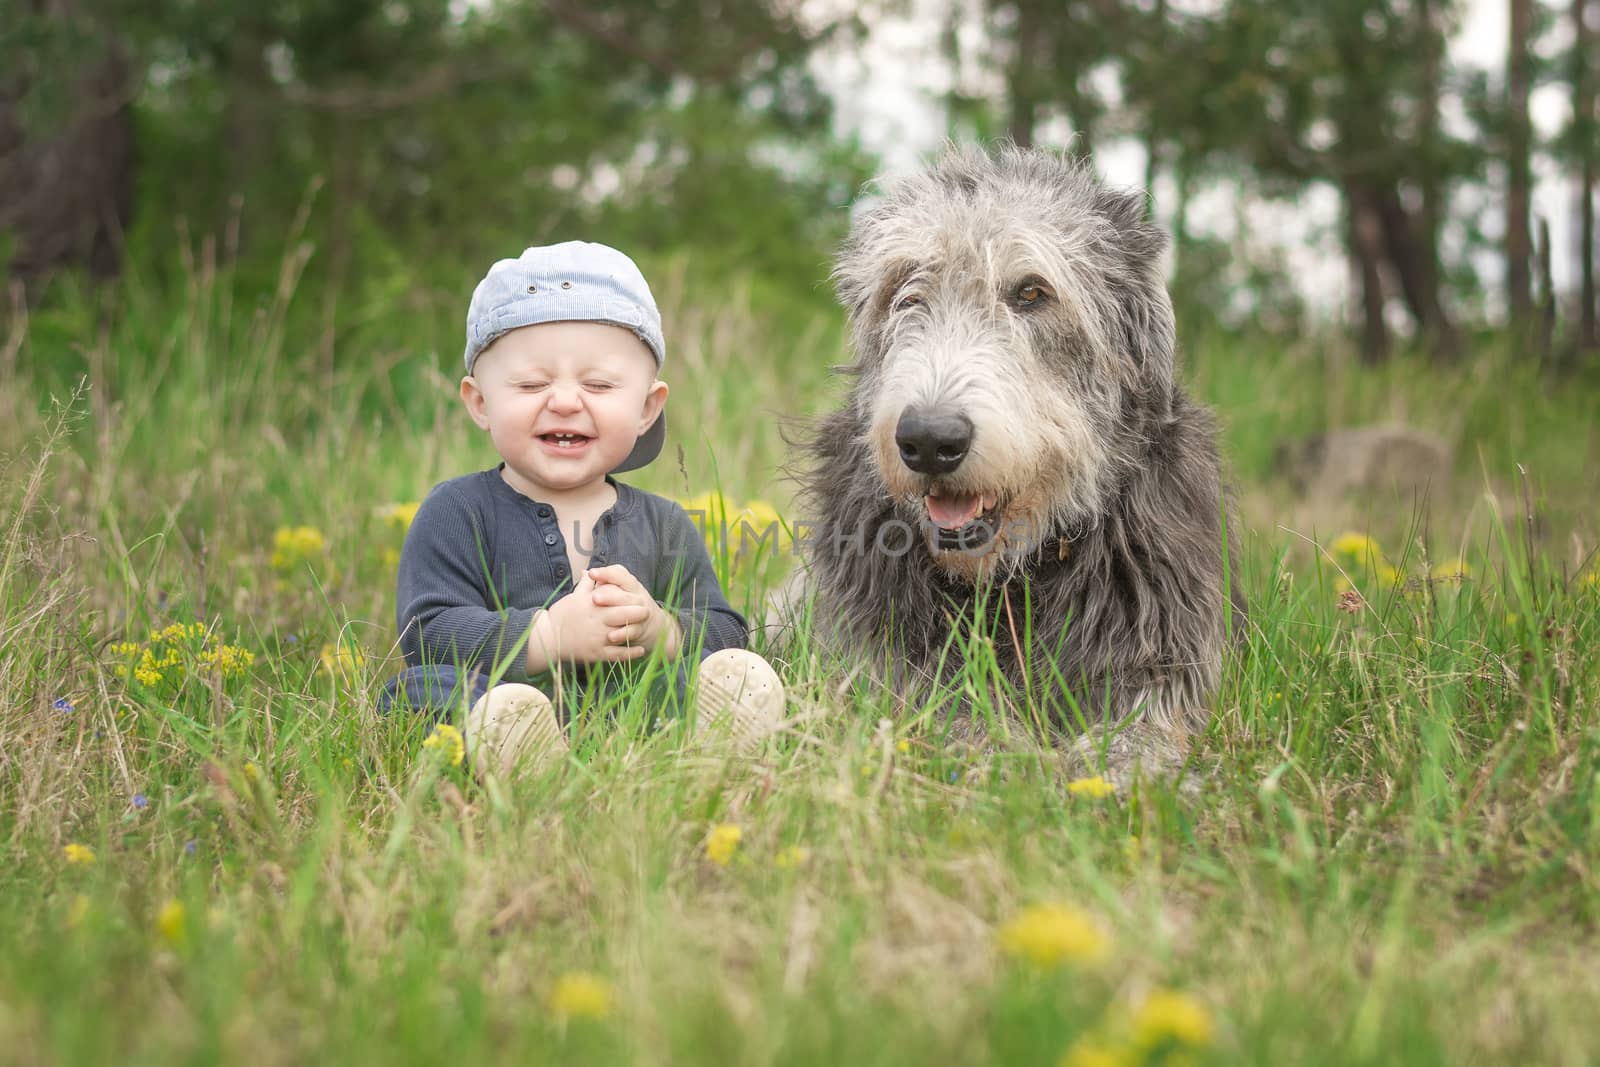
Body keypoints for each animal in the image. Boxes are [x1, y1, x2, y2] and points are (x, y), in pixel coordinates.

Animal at [793, 143, 1241, 777]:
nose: (928, 440)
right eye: (905, 291)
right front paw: (1007, 756)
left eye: (1031, 293)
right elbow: (943, 717)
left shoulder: (1160, 644)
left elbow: (1144, 730)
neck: (1012, 580)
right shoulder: (878, 661)